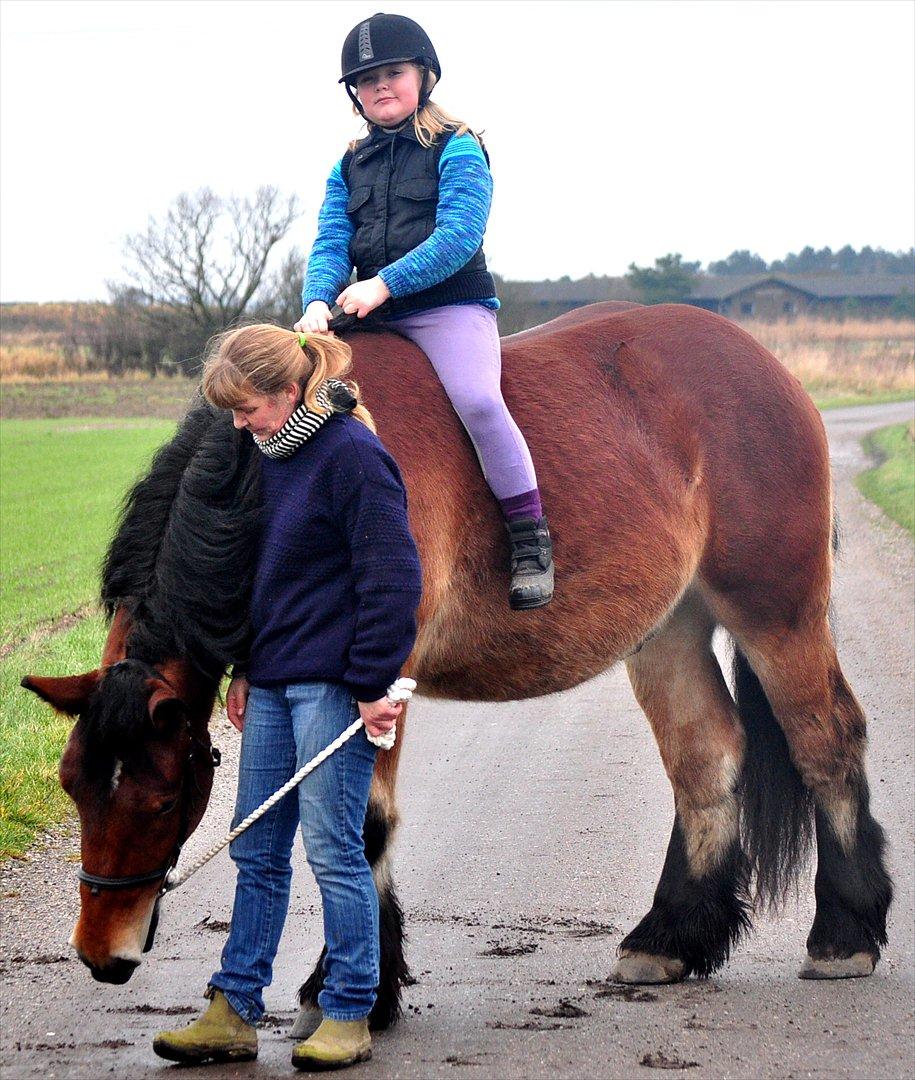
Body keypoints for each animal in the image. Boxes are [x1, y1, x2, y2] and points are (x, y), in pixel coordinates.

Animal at [23, 304, 894, 1019]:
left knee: (825, 740)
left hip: (774, 611)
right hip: (669, 628)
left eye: (164, 800)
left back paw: (843, 934)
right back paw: (670, 938)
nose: (103, 955)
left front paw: (357, 992)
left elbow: (360, 823)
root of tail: (760, 363)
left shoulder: (373, 679)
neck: (296, 466)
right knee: (705, 758)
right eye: (72, 787)